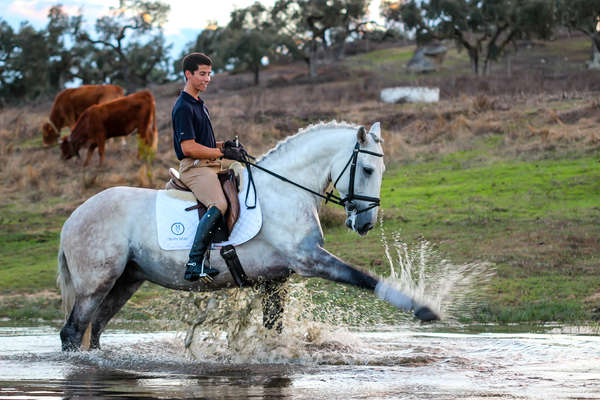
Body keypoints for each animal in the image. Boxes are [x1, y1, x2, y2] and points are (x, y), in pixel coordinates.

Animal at [57, 121, 436, 350]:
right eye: (368, 169)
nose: (366, 223)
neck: (286, 191)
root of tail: (72, 219)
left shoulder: (276, 277)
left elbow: (273, 327)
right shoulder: (310, 260)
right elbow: (363, 277)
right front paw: (423, 308)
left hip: (127, 280)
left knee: (95, 329)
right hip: (96, 284)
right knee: (73, 331)